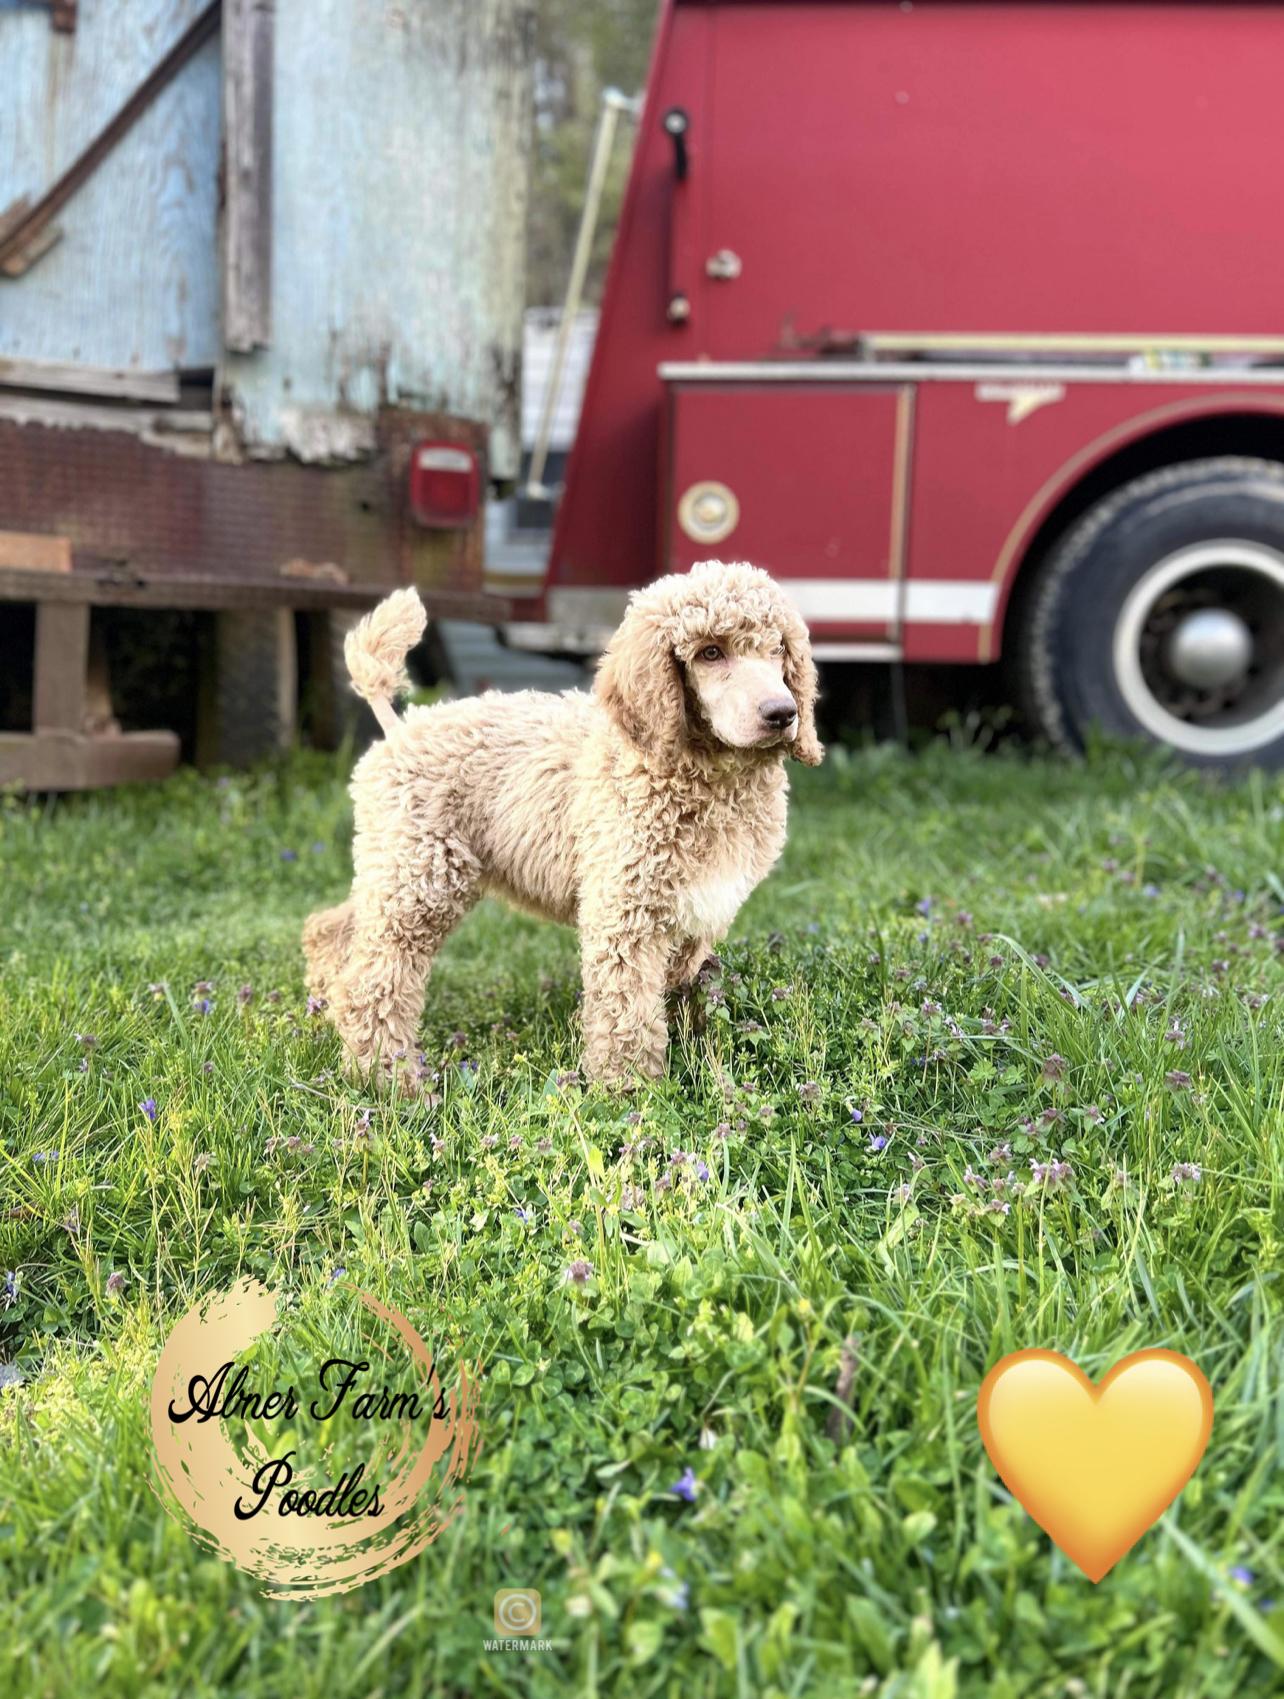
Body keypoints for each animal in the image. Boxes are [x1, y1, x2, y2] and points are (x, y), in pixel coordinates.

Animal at [303, 560, 821, 1086]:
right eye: (711, 652)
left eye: (778, 648)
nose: (782, 714)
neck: (706, 778)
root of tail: (399, 729)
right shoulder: (626, 908)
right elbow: (627, 1006)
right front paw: (629, 1086)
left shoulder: (698, 911)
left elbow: (675, 989)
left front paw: (691, 1055)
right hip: (424, 874)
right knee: (374, 978)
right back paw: (388, 1077)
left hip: (397, 864)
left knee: (334, 930)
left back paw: (324, 1008)